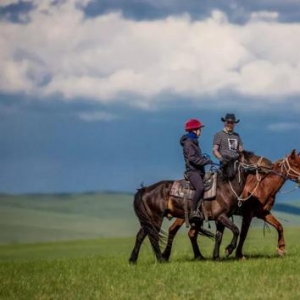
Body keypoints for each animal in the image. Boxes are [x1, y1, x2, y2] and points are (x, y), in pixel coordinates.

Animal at [129, 150, 272, 262]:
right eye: (250, 157)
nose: (269, 164)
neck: (225, 188)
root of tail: (145, 189)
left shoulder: (220, 219)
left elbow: (219, 236)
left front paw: (216, 257)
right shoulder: (221, 216)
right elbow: (236, 230)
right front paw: (228, 250)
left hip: (150, 220)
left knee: (141, 235)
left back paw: (133, 260)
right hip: (155, 218)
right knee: (152, 236)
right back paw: (160, 258)